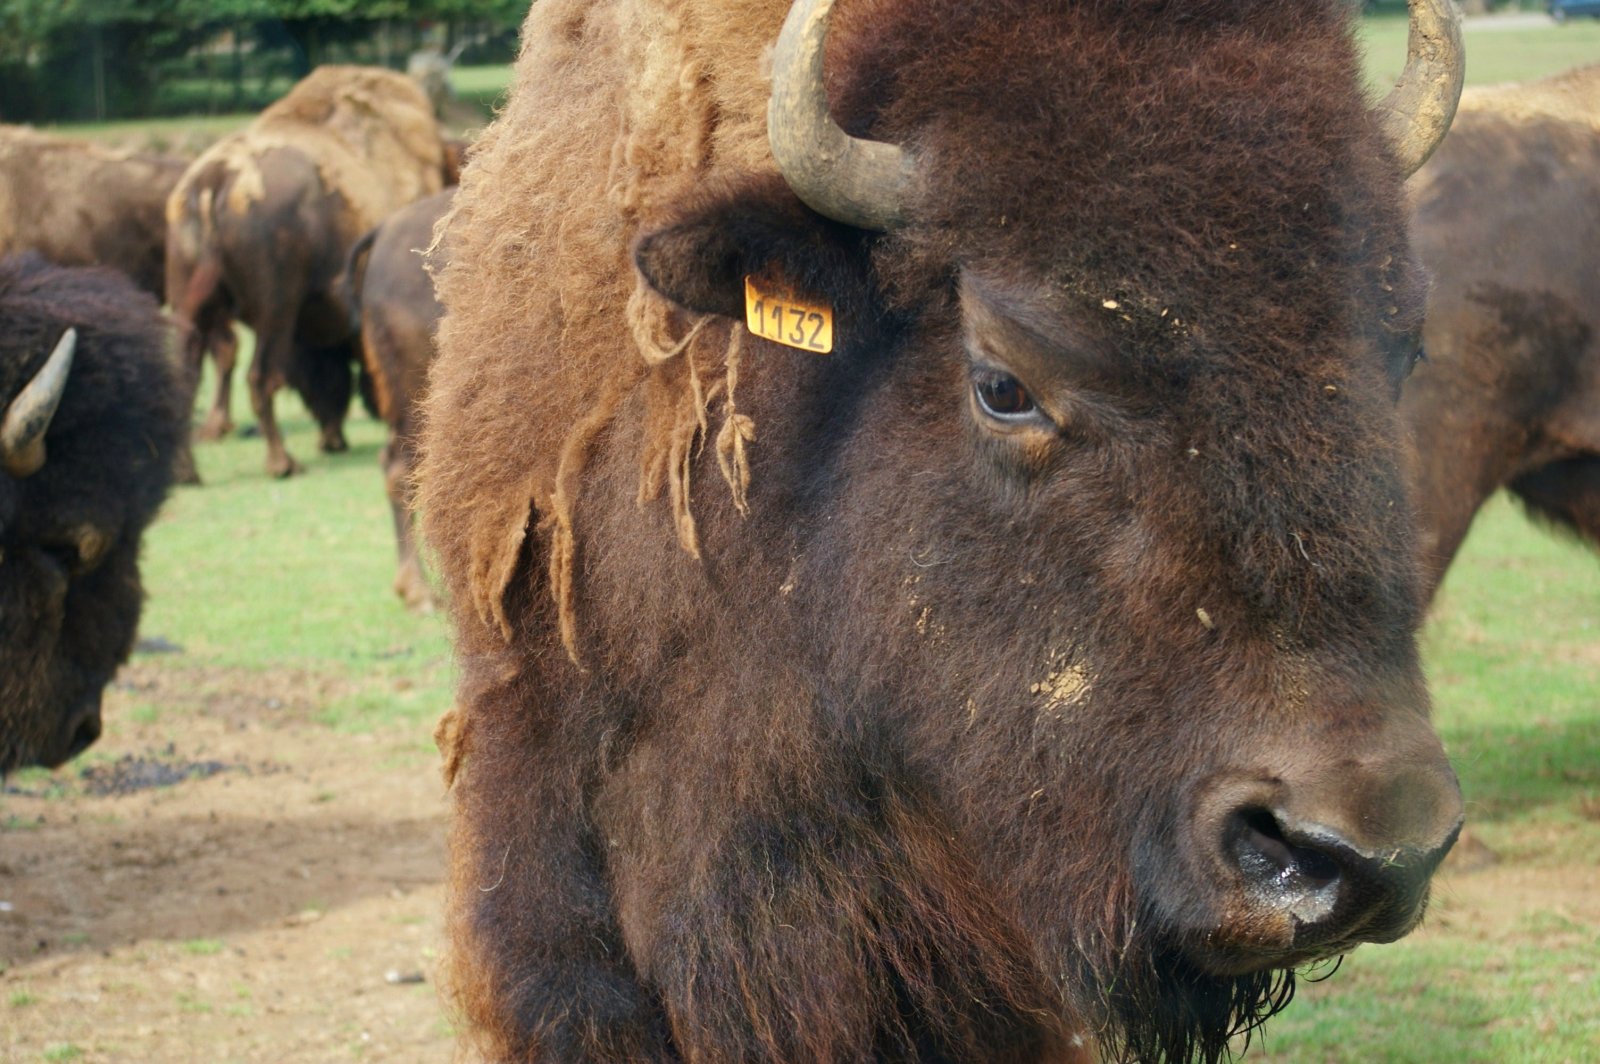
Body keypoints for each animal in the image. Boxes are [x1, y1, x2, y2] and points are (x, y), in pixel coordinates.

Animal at [166, 66, 454, 476]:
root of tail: (216, 178)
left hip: (189, 303)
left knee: (188, 373)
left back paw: (188, 470)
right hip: (275, 309)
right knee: (260, 376)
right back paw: (282, 462)